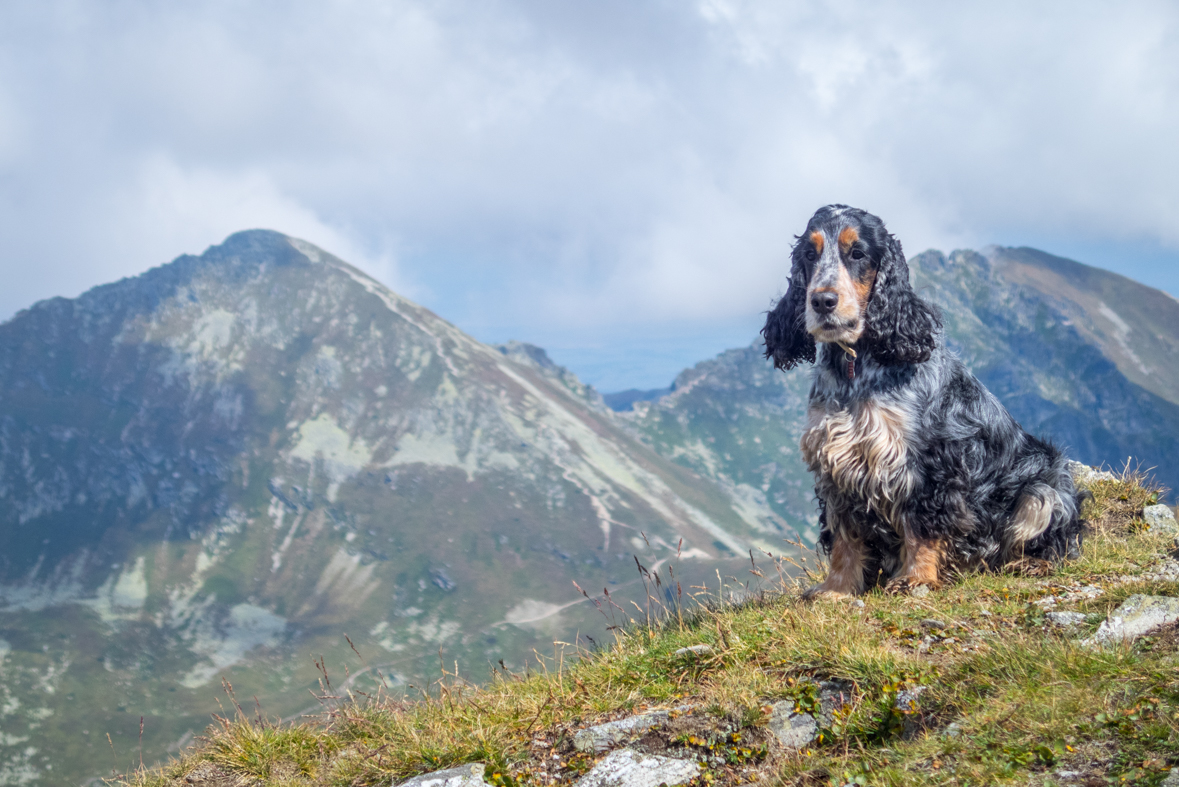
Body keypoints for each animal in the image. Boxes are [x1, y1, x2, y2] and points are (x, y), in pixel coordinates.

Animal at [759, 202, 1079, 596]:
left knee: (1052, 540)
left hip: (1043, 491)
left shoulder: (929, 460)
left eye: (858, 253)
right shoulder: (835, 464)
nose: (822, 300)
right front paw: (836, 589)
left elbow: (923, 526)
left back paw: (1031, 563)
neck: (855, 366)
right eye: (809, 254)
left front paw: (915, 578)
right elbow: (845, 537)